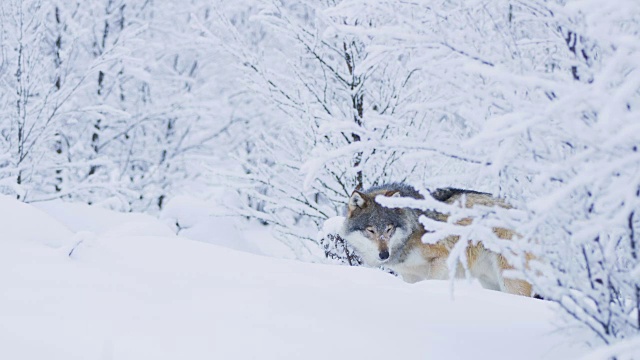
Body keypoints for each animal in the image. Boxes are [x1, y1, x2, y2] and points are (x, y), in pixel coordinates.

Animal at [342, 184, 532, 296]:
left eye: (389, 229)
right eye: (371, 230)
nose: (384, 254)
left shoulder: (443, 258)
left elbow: (431, 281)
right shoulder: (409, 275)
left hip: (509, 280)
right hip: (489, 281)